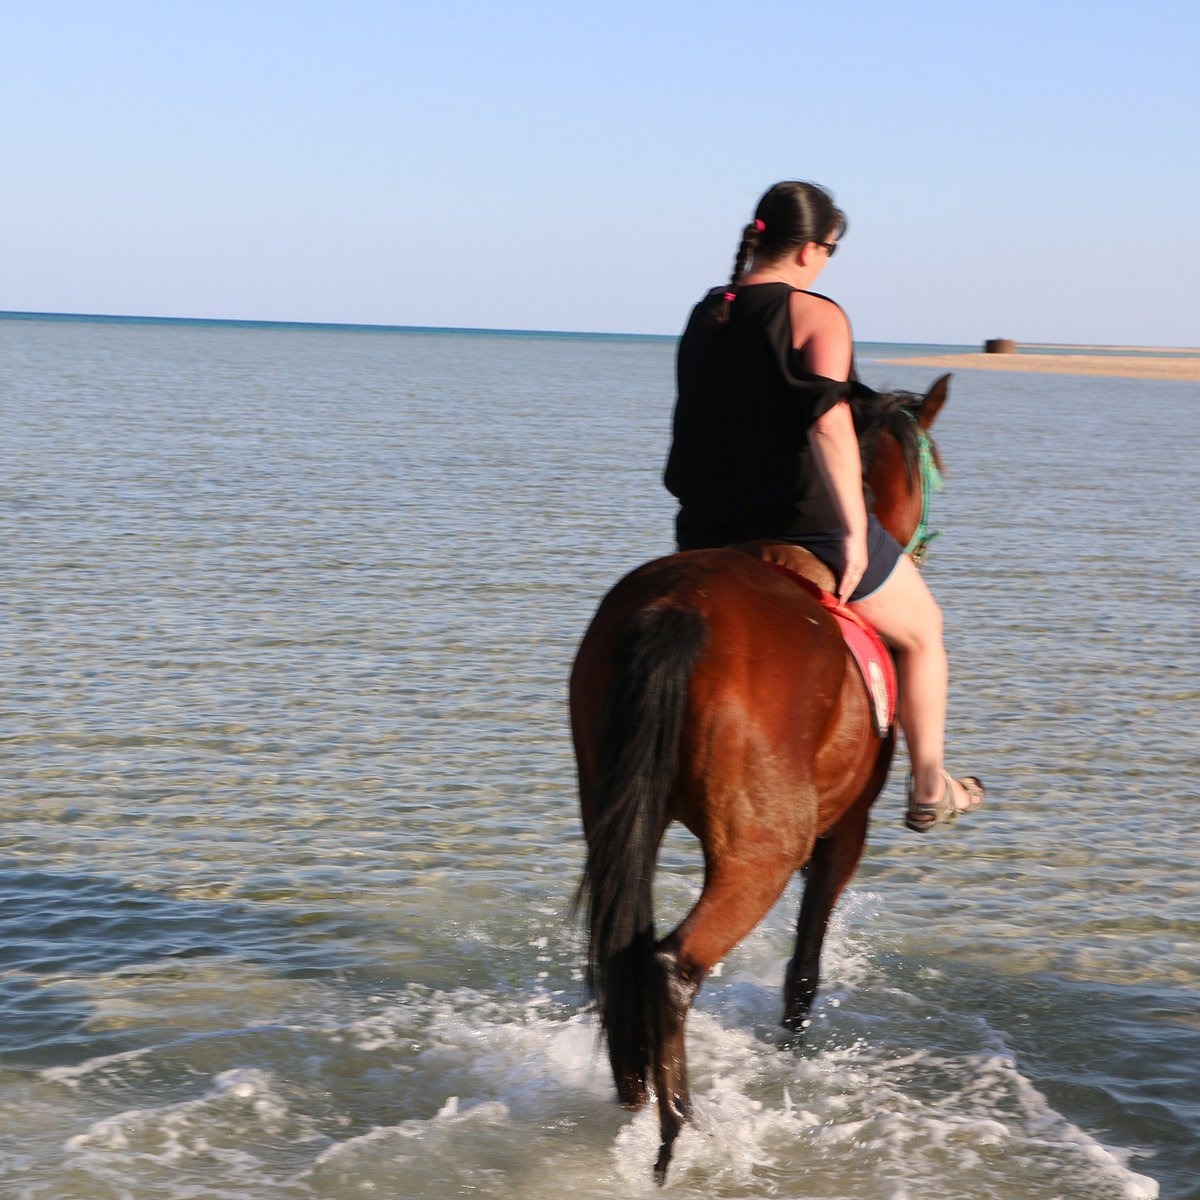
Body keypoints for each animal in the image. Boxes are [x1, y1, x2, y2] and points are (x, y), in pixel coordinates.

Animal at [569, 374, 952, 1183]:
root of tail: (679, 605)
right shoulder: (845, 832)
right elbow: (804, 968)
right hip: (765, 851)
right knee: (673, 966)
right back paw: (676, 1133)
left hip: (616, 813)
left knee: (625, 954)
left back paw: (636, 1095)